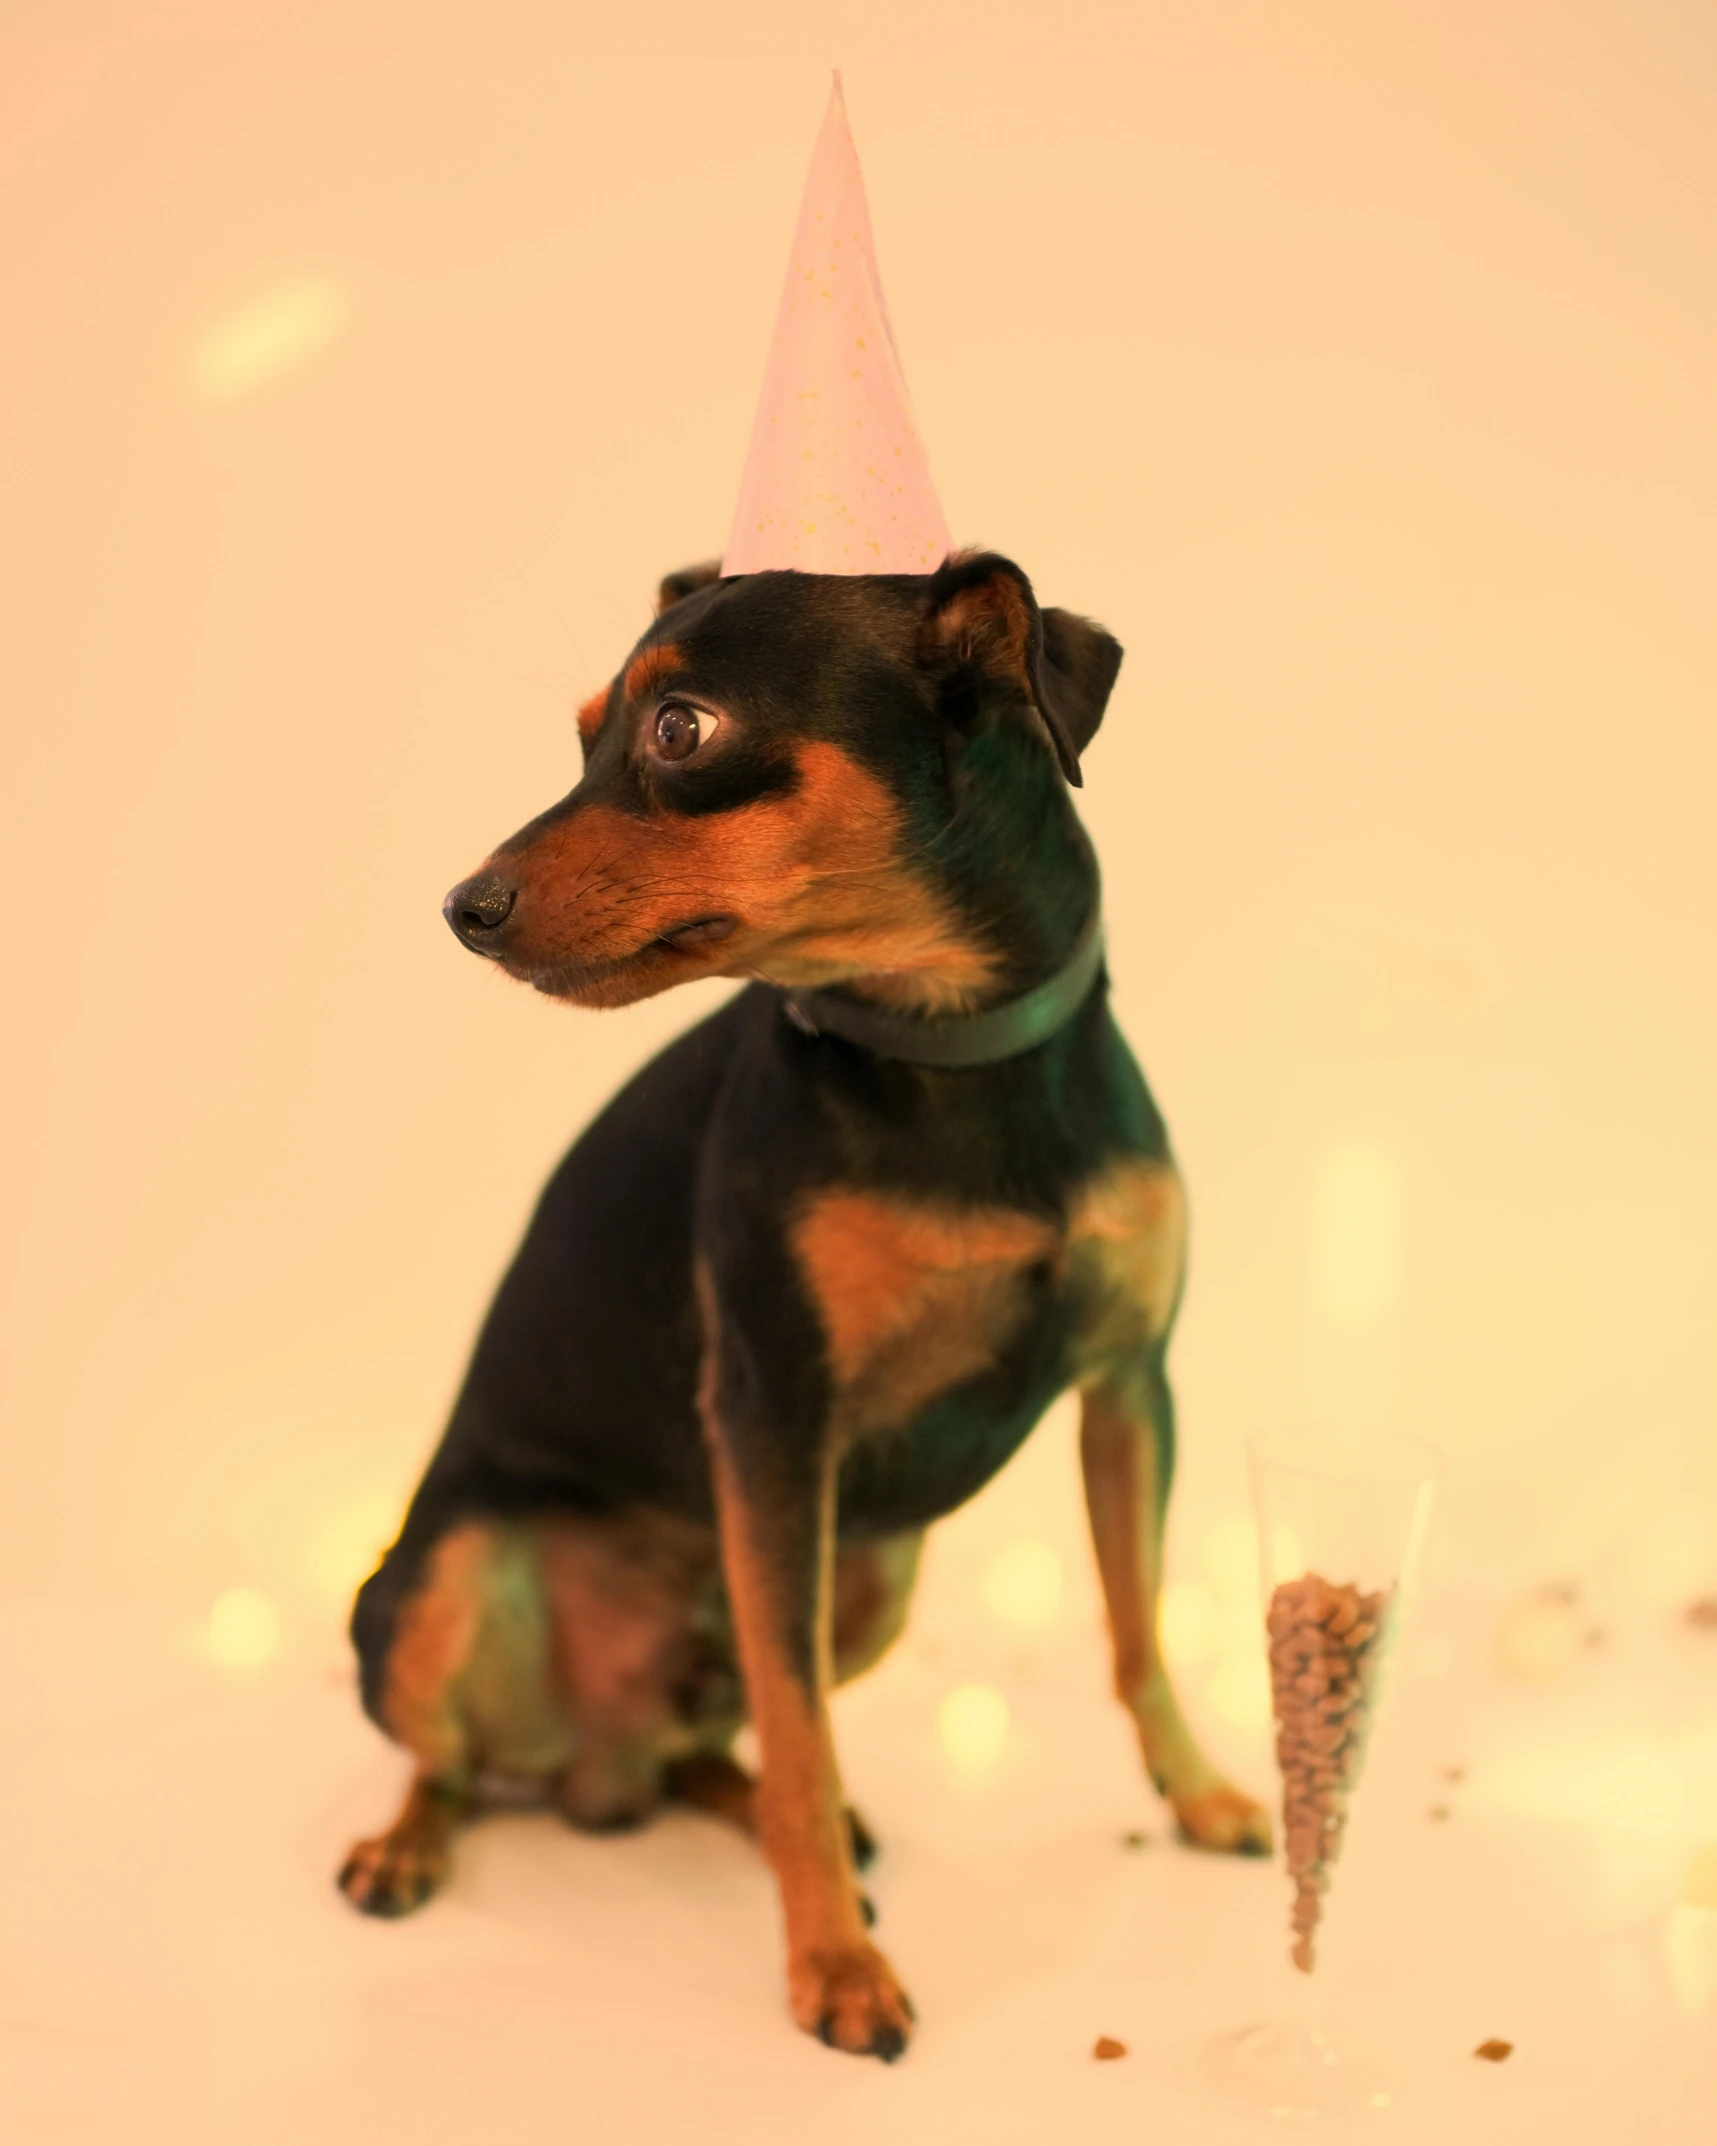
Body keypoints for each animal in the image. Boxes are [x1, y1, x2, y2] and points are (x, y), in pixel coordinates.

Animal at [339, 553, 1270, 2060]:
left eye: (678, 731)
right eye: (583, 731)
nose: (460, 904)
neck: (950, 1049)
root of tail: (596, 1767)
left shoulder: (1133, 1388)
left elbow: (1136, 1629)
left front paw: (1201, 1796)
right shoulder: (776, 1421)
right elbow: (798, 1721)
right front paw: (835, 1964)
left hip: (872, 1577)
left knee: (720, 1745)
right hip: (441, 1579)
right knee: (456, 1754)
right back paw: (407, 1843)